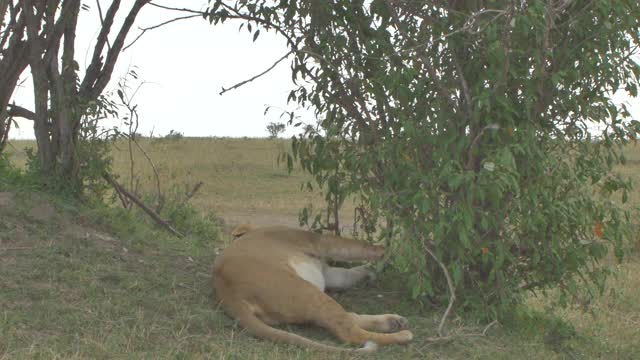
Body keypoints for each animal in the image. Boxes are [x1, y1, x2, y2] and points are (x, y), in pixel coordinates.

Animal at [212, 225, 412, 352]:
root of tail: (228, 293)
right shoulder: (319, 241)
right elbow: (364, 247)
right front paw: (402, 251)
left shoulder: (328, 273)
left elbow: (349, 273)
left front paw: (370, 271)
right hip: (306, 291)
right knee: (350, 332)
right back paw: (402, 334)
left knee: (348, 318)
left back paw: (393, 321)